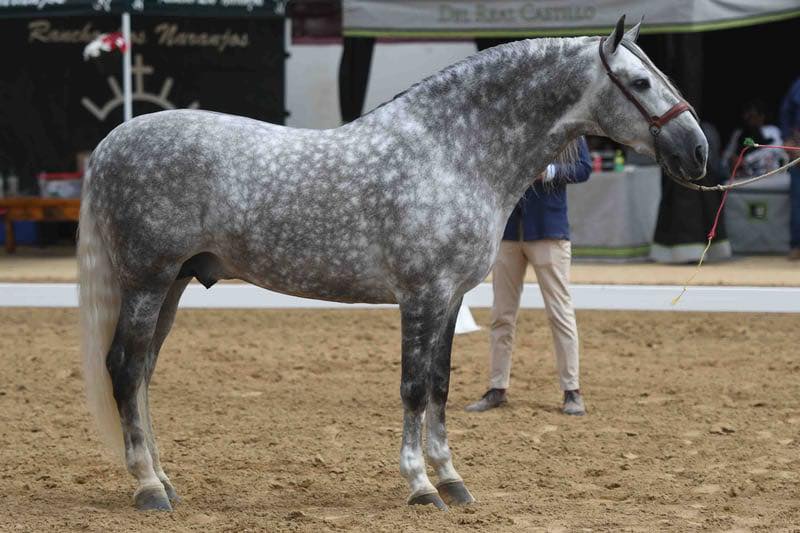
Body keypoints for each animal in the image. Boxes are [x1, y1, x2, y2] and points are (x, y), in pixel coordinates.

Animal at [79, 16, 707, 512]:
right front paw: (420, 486)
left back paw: (164, 480)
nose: (697, 150)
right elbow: (412, 387)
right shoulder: (421, 295)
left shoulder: (452, 298)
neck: (452, 153)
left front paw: (451, 479)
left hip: (174, 284)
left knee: (144, 374)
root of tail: (111, 142)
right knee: (125, 370)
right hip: (147, 282)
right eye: (640, 81)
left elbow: (441, 386)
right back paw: (148, 489)